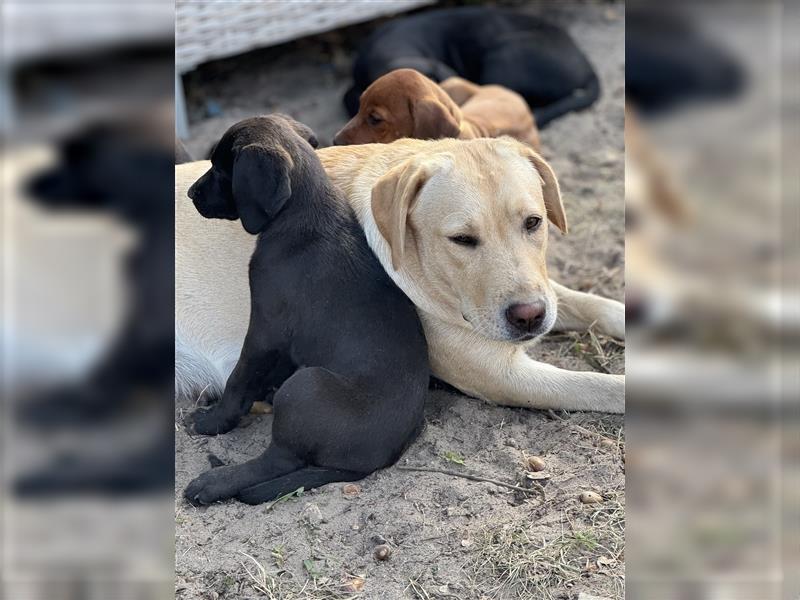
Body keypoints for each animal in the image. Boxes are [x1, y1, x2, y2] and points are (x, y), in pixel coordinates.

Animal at [175, 134, 624, 414]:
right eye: (462, 239)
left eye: (534, 223)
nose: (529, 317)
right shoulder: (501, 375)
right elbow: (601, 386)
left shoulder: (547, 290)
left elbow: (597, 305)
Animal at [182, 113, 432, 506]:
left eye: (223, 169)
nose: (191, 193)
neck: (300, 210)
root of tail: (377, 461)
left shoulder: (265, 328)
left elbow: (239, 378)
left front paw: (214, 420)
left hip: (305, 387)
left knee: (277, 461)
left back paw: (214, 482)